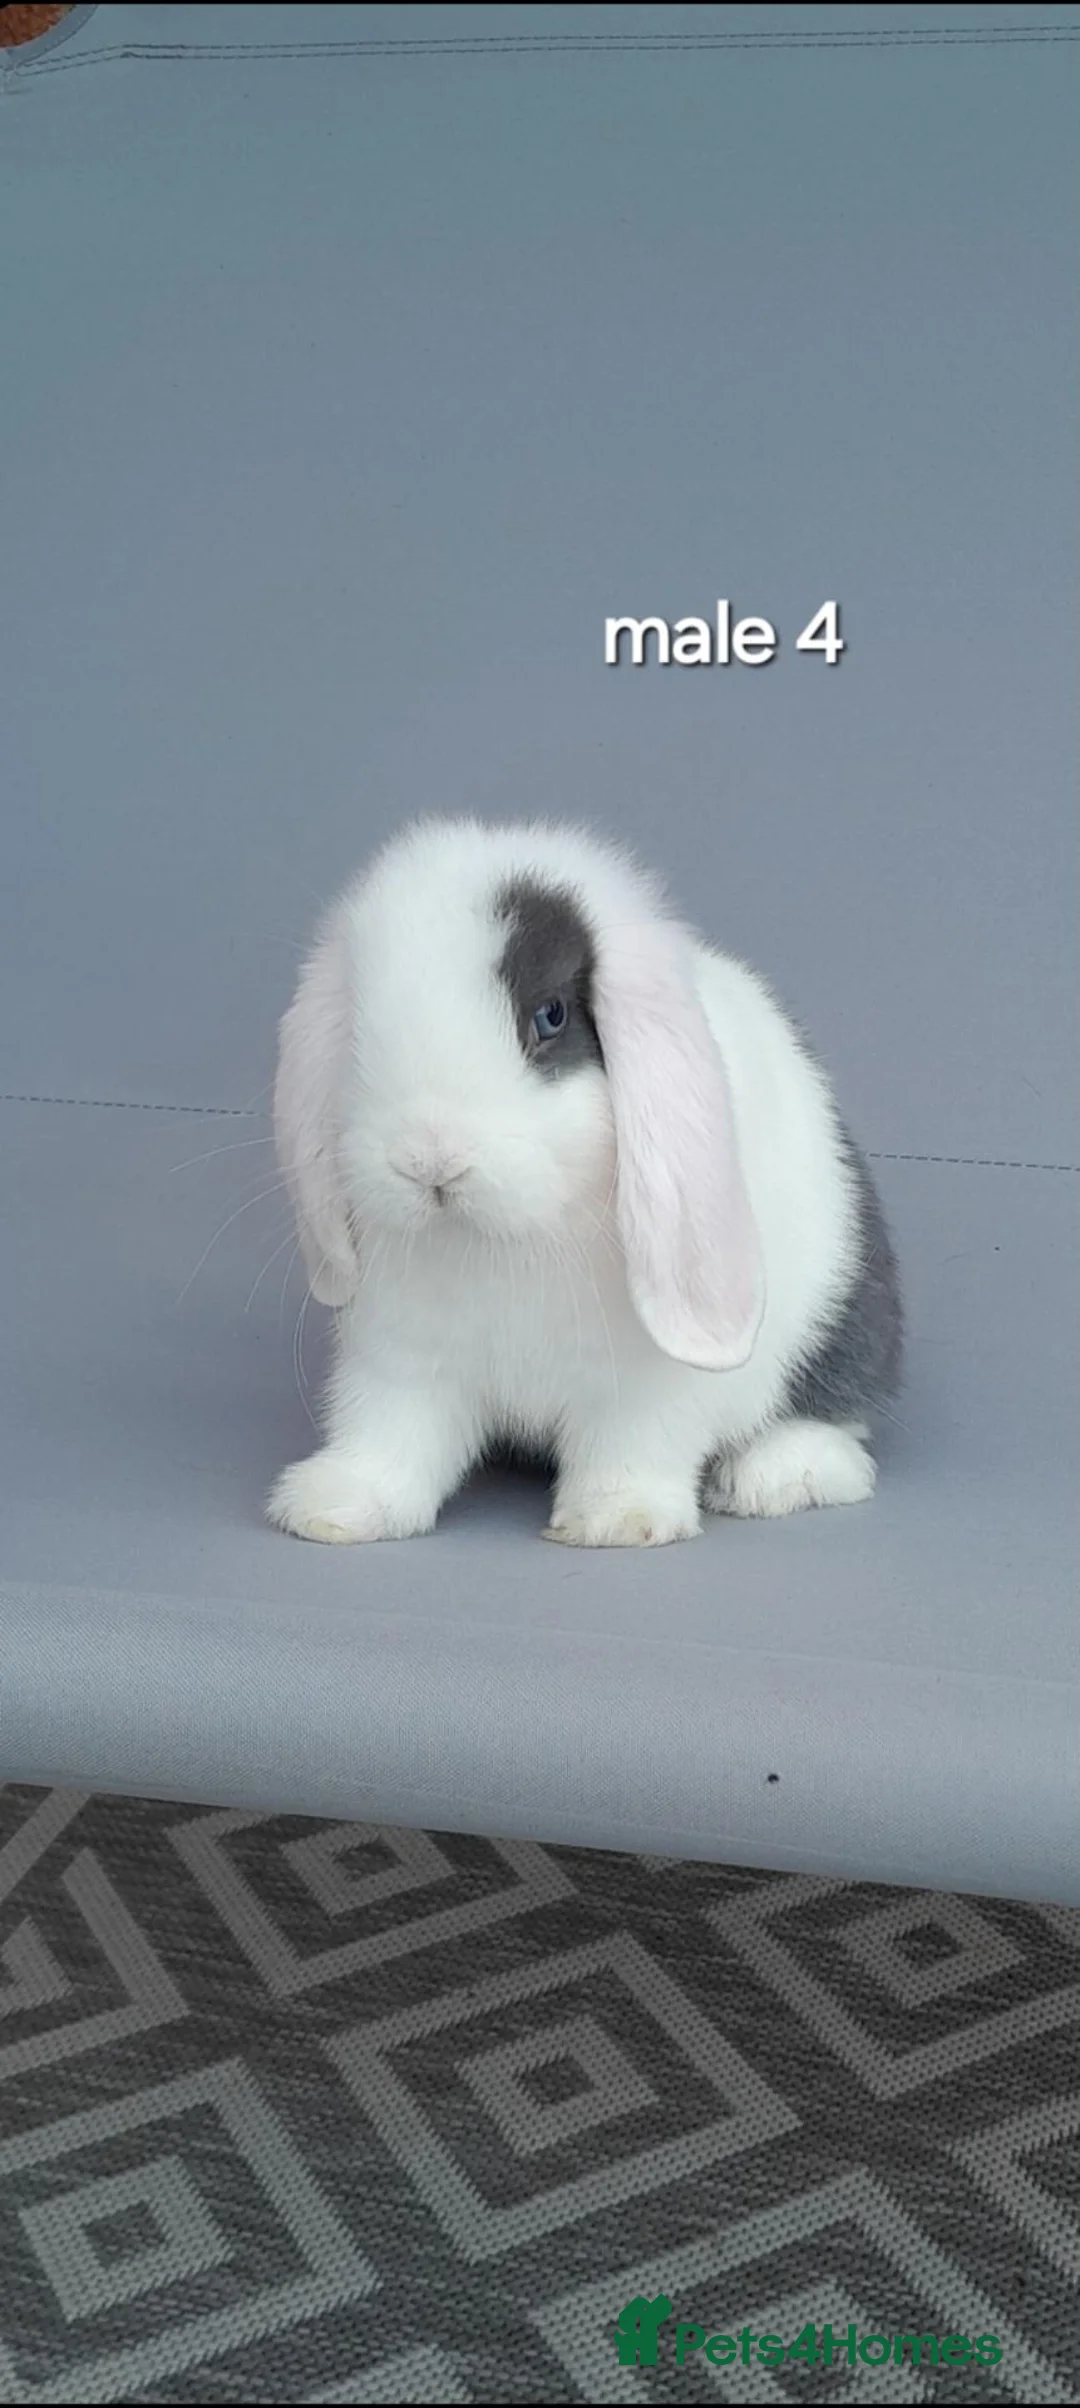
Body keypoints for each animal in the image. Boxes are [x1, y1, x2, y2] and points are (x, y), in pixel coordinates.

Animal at [268, 815, 902, 1549]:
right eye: (359, 1024)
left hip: (841, 1321)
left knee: (837, 1428)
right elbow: (390, 1433)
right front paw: (334, 1507)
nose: (430, 1161)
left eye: (550, 1016)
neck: (511, 1239)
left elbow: (632, 1444)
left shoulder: (647, 1385)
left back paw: (774, 1475)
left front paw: (617, 1521)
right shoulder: (399, 1358)